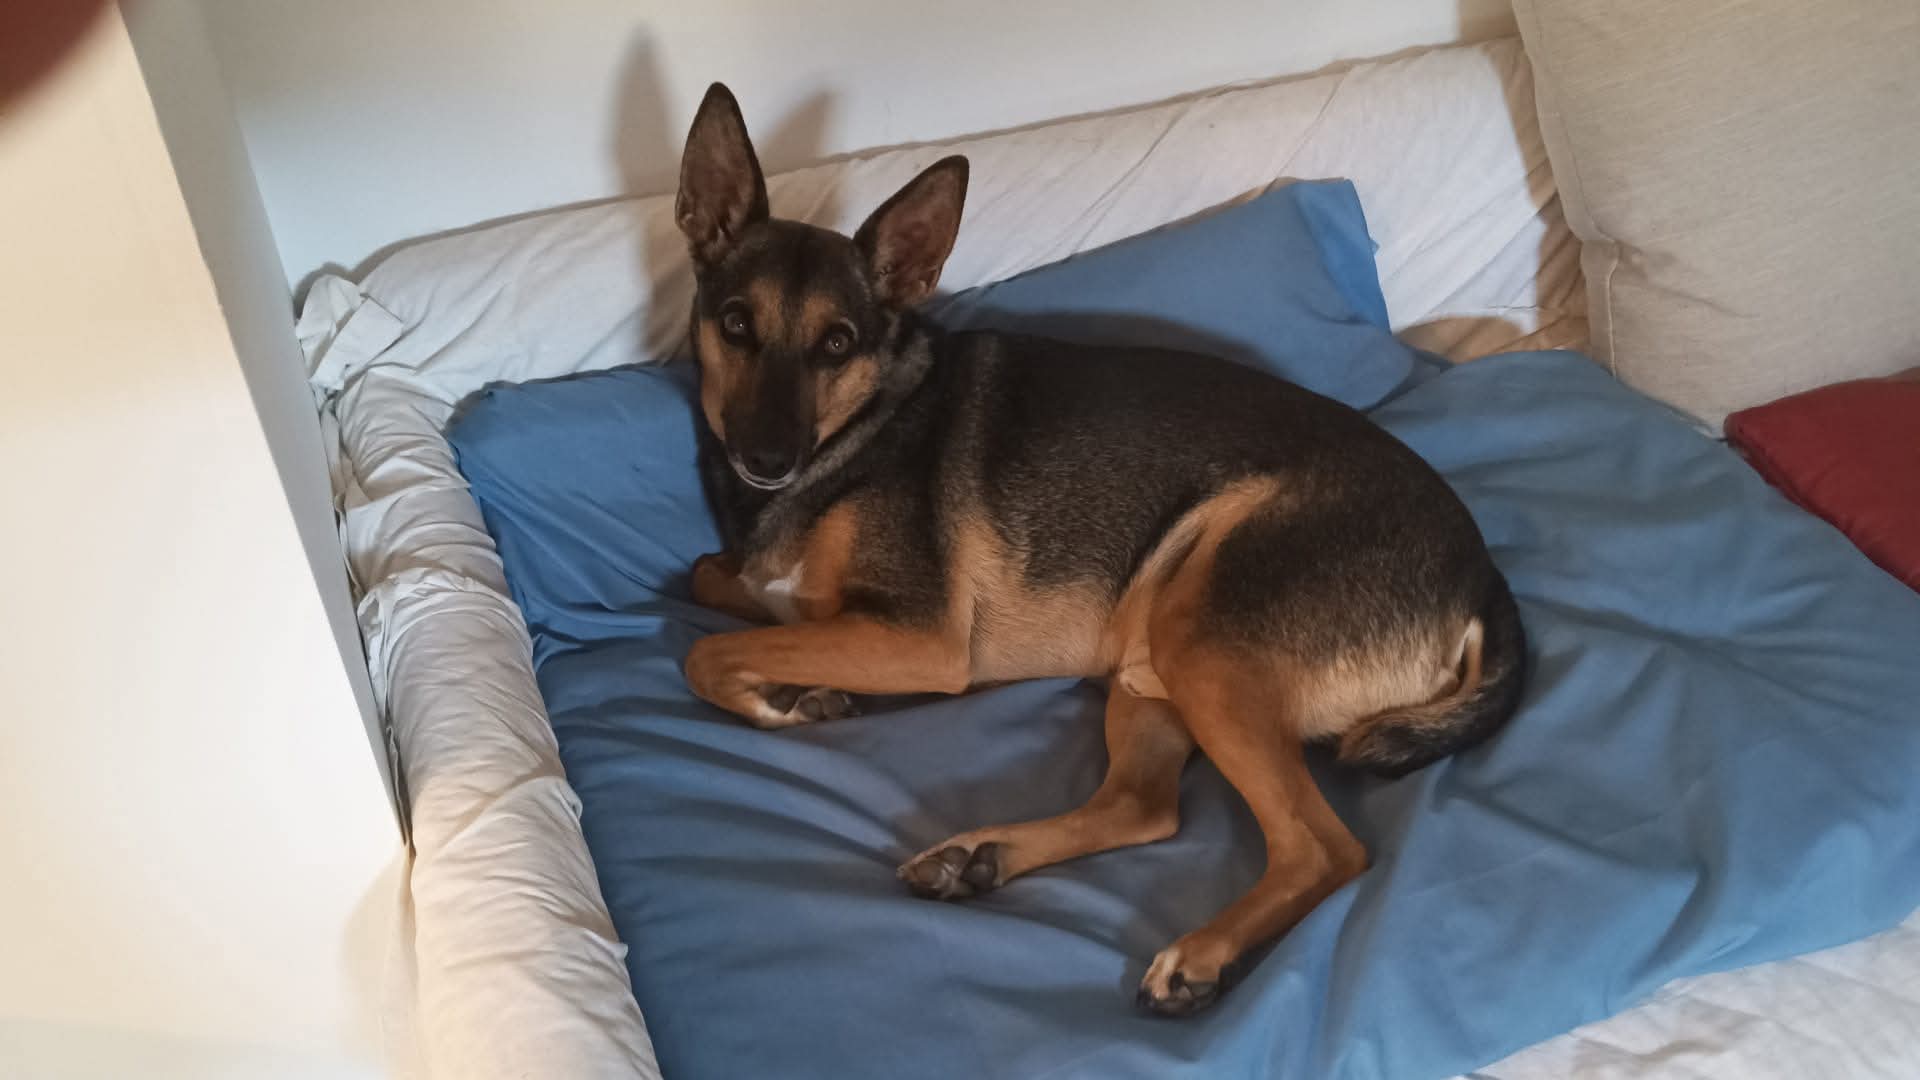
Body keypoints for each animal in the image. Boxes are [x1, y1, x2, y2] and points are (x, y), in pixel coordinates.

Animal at [674, 83, 1524, 1016]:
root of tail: (1485, 581)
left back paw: (1200, 953)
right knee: (1146, 807)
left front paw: (778, 701)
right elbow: (716, 581)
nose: (766, 459)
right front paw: (796, 677)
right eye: (736, 324)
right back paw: (981, 856)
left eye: (836, 342)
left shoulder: (922, 640)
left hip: (1205, 636)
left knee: (1324, 848)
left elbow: (708, 654)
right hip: (1153, 659)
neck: (860, 426)